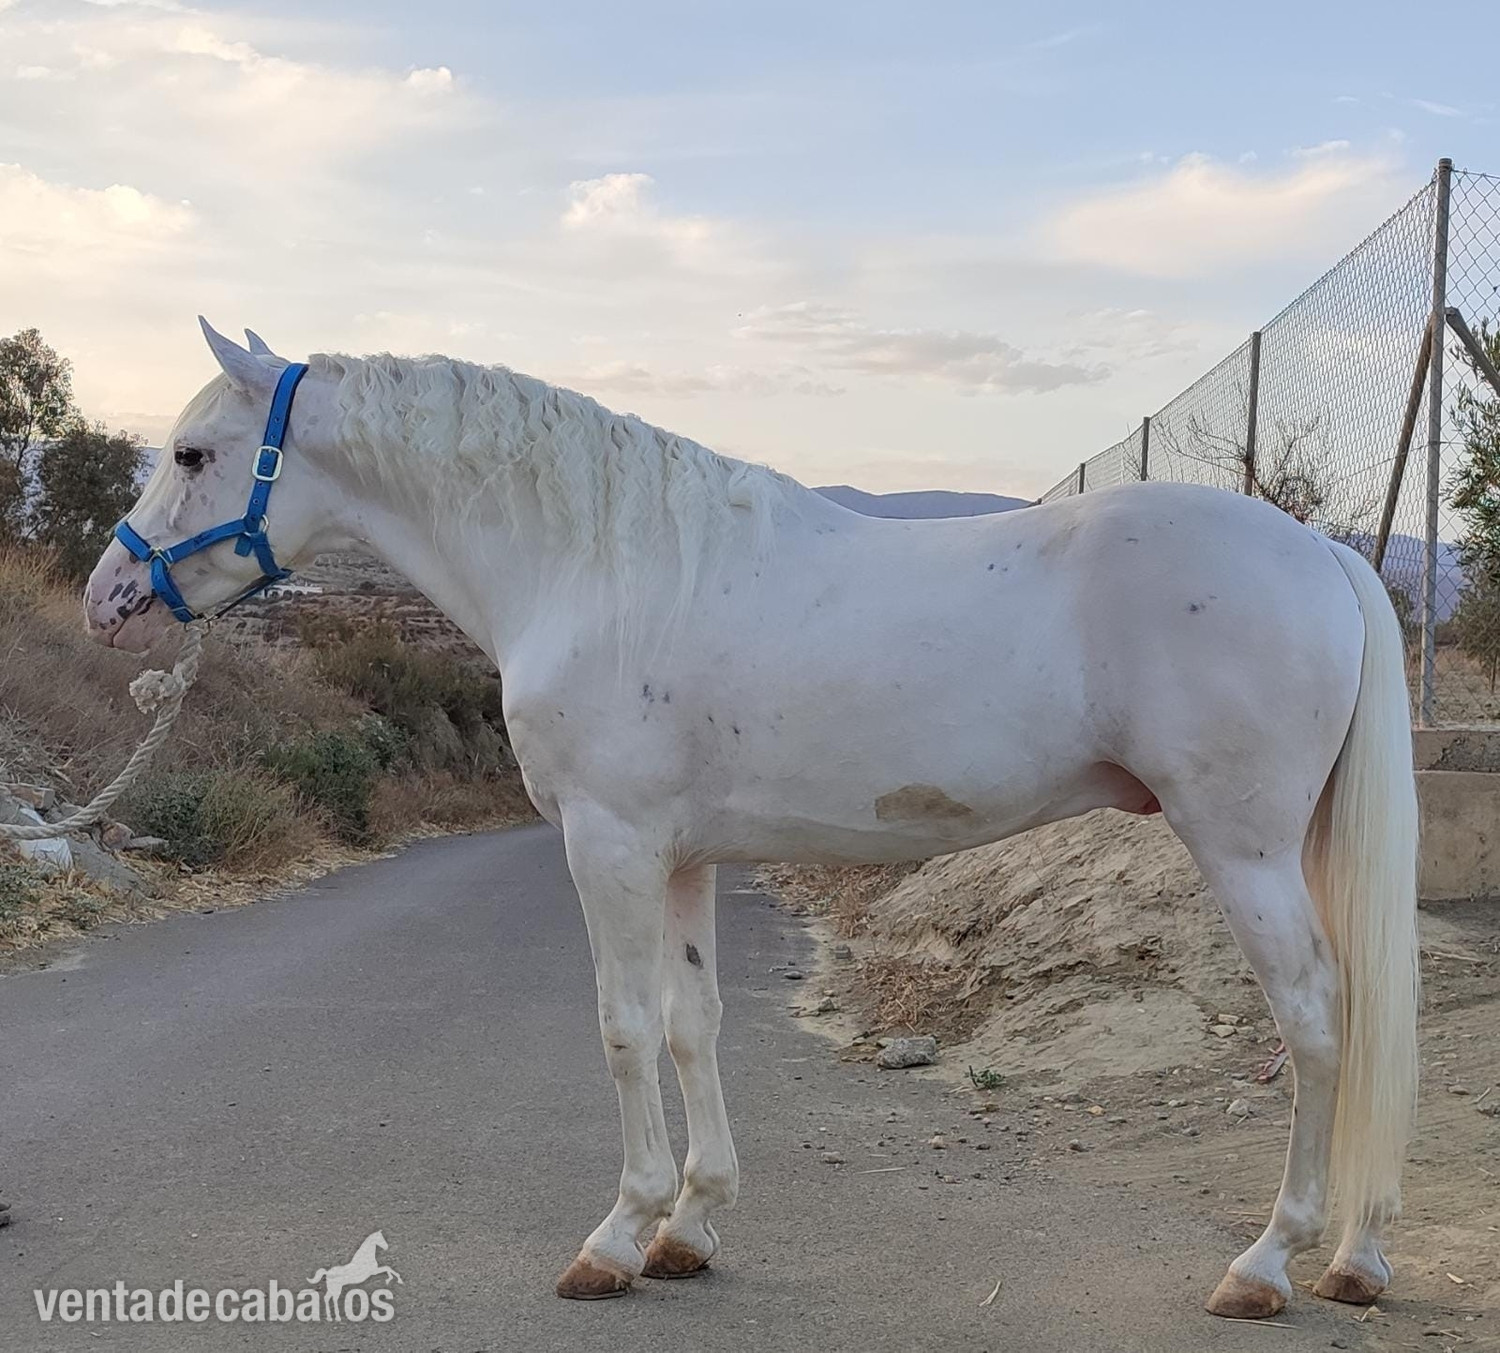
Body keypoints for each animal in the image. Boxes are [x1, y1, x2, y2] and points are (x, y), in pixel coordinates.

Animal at [85, 320, 1419, 1321]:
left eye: (194, 454)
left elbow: (623, 1028)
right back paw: (1356, 1258)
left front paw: (615, 1239)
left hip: (1243, 848)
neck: (600, 570)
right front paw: (690, 1226)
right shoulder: (679, 858)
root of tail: (1320, 552)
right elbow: (692, 1026)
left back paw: (1269, 1262)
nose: (108, 597)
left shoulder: (607, 845)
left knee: (1318, 1016)